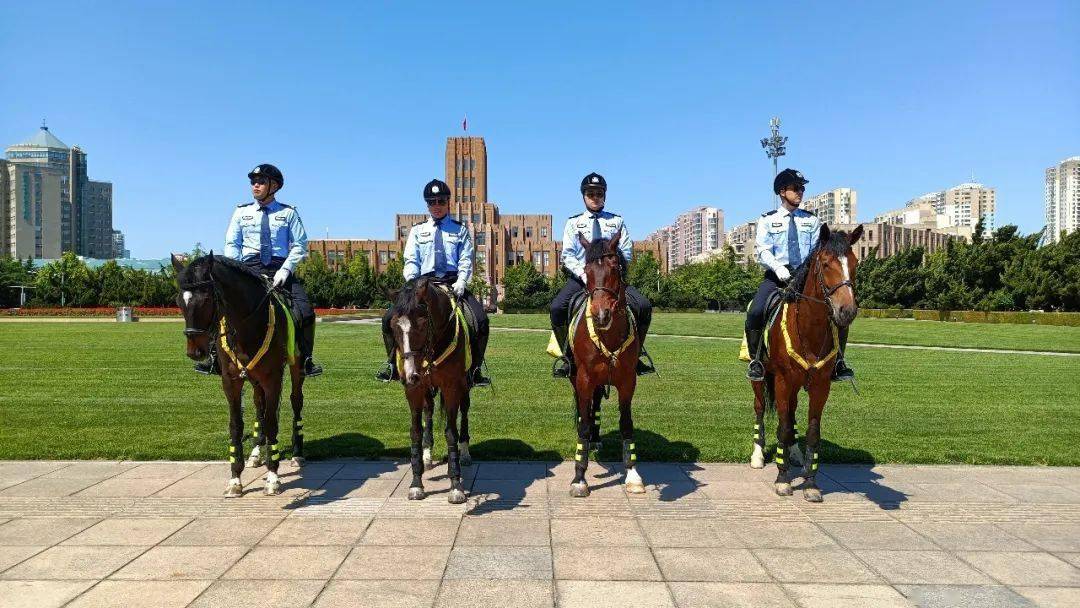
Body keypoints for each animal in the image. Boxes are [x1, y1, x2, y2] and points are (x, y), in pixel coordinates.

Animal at [172, 254, 306, 496]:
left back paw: (297, 453)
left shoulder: (273, 379)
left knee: (295, 401)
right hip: (254, 379)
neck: (247, 324)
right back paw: (256, 452)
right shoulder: (231, 381)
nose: (195, 351)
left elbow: (272, 422)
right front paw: (235, 477)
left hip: (295, 368)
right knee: (259, 405)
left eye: (207, 299)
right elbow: (236, 424)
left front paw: (273, 476)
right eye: (179, 301)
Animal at [388, 276, 473, 505]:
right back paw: (427, 455)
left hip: (465, 384)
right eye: (393, 327)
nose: (411, 374)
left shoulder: (452, 386)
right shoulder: (414, 390)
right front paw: (416, 482)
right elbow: (416, 431)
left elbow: (451, 432)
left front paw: (456, 484)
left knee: (464, 411)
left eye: (422, 324)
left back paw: (464, 452)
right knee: (429, 410)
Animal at [561, 231, 643, 496]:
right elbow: (584, 424)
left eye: (615, 267)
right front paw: (579, 477)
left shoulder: (628, 381)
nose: (600, 314)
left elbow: (626, 424)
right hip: (577, 377)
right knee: (584, 409)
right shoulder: (584, 378)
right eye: (586, 270)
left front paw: (632, 473)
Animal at [751, 225, 859, 501]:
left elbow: (812, 432)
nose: (847, 311)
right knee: (760, 408)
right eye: (826, 263)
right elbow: (782, 427)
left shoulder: (821, 386)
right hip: (761, 378)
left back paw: (794, 454)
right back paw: (758, 455)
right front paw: (782, 479)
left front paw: (810, 482)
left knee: (790, 414)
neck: (809, 329)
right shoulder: (782, 380)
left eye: (855, 263)